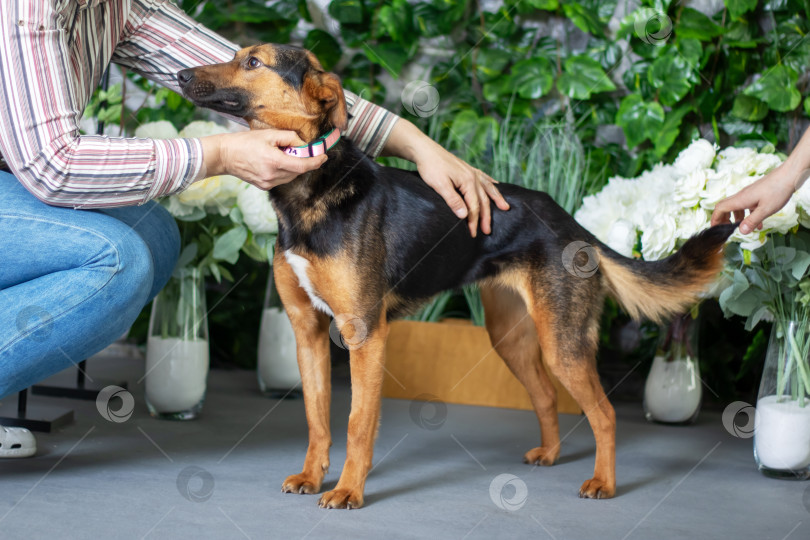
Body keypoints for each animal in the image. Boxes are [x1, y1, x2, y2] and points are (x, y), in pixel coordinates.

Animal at [180, 44, 736, 508]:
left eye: (253, 61)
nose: (182, 74)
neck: (309, 185)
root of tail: (570, 222)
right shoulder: (307, 331)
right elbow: (318, 418)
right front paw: (312, 476)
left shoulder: (365, 334)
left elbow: (358, 423)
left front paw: (349, 491)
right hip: (511, 336)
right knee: (546, 396)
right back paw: (550, 455)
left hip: (562, 340)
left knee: (605, 413)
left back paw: (604, 482)